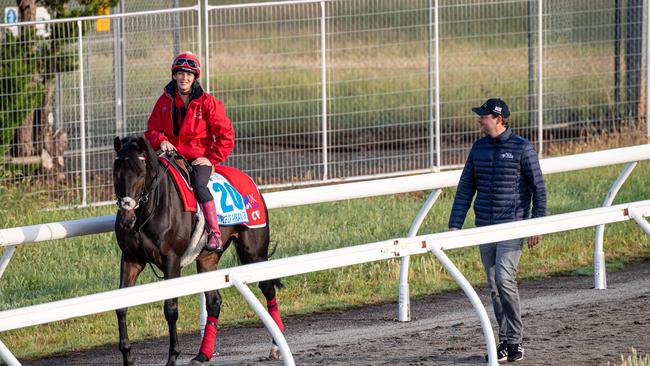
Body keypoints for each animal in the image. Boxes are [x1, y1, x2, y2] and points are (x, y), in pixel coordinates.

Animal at [112, 135, 284, 366]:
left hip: (254, 251)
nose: (126, 219)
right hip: (208, 258)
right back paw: (203, 354)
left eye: (140, 173)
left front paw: (173, 357)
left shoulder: (171, 260)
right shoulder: (131, 258)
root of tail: (251, 182)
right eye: (116, 173)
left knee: (268, 288)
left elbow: (171, 309)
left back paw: (276, 345)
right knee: (214, 301)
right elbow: (121, 306)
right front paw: (127, 357)